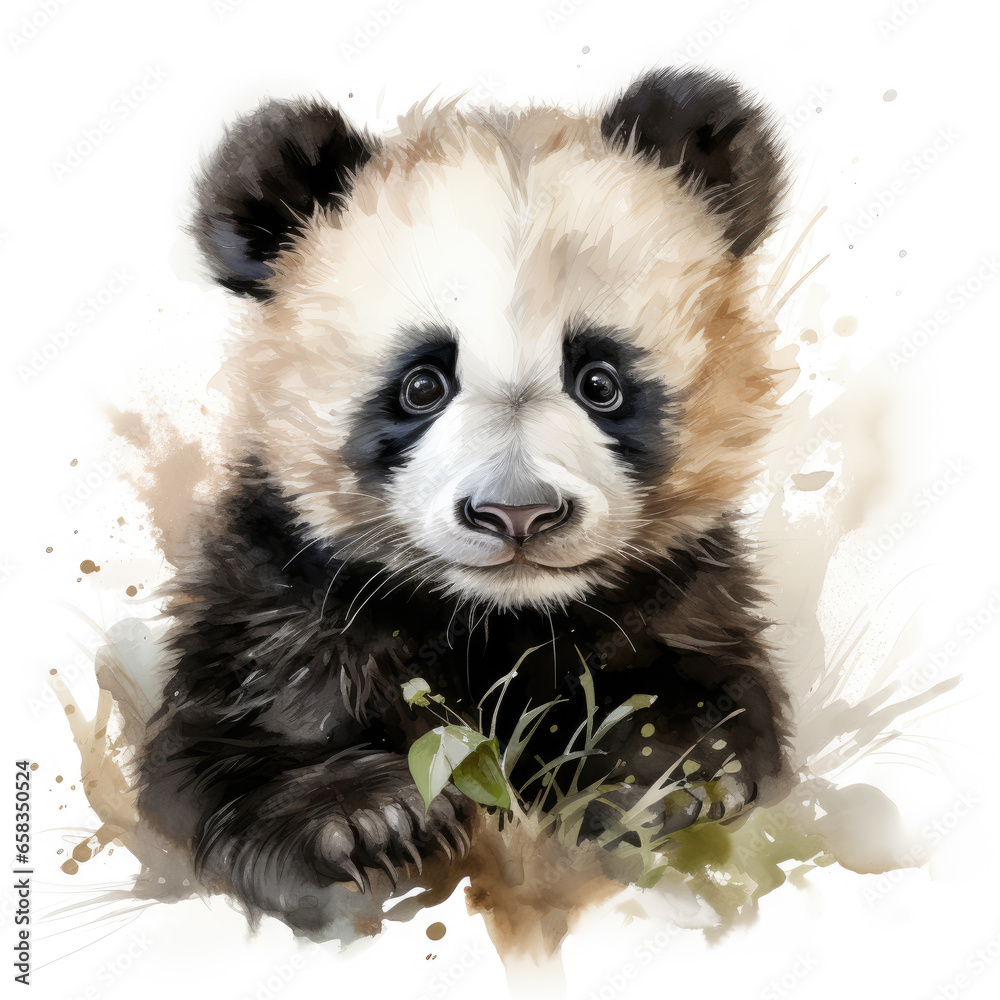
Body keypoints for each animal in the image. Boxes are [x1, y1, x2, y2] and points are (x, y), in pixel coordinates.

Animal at [137, 68, 792, 929]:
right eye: (422, 384)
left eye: (601, 381)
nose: (518, 514)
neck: (494, 616)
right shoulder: (283, 588)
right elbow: (227, 739)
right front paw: (367, 822)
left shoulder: (682, 585)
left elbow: (706, 697)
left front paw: (659, 781)